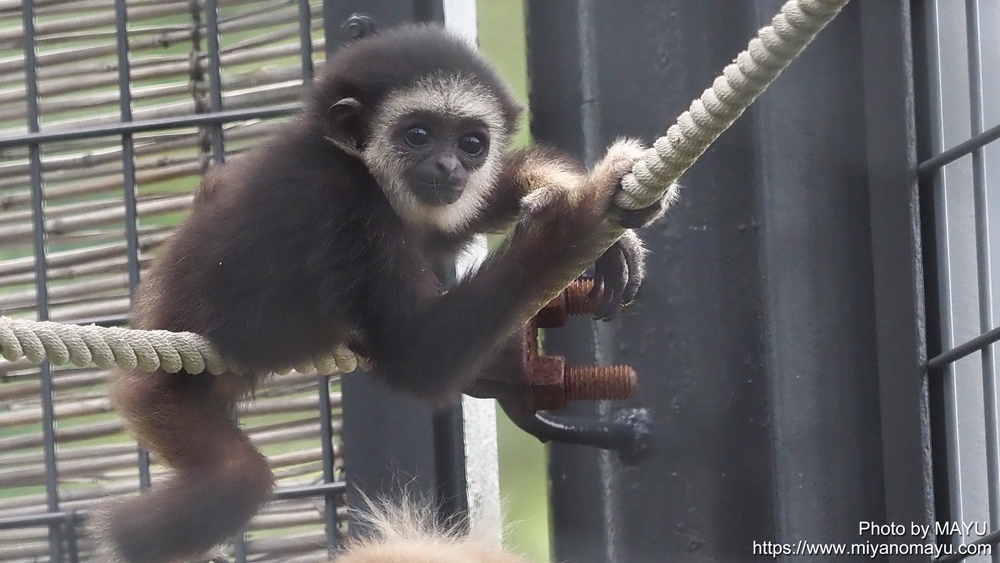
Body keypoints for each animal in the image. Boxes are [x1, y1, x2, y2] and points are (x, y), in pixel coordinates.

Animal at [89, 24, 664, 563]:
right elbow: (418, 353)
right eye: (418, 134)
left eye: (471, 143)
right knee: (236, 478)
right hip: (161, 393)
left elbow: (449, 226)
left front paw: (567, 195)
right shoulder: (346, 206)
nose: (450, 166)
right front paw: (586, 212)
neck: (352, 162)